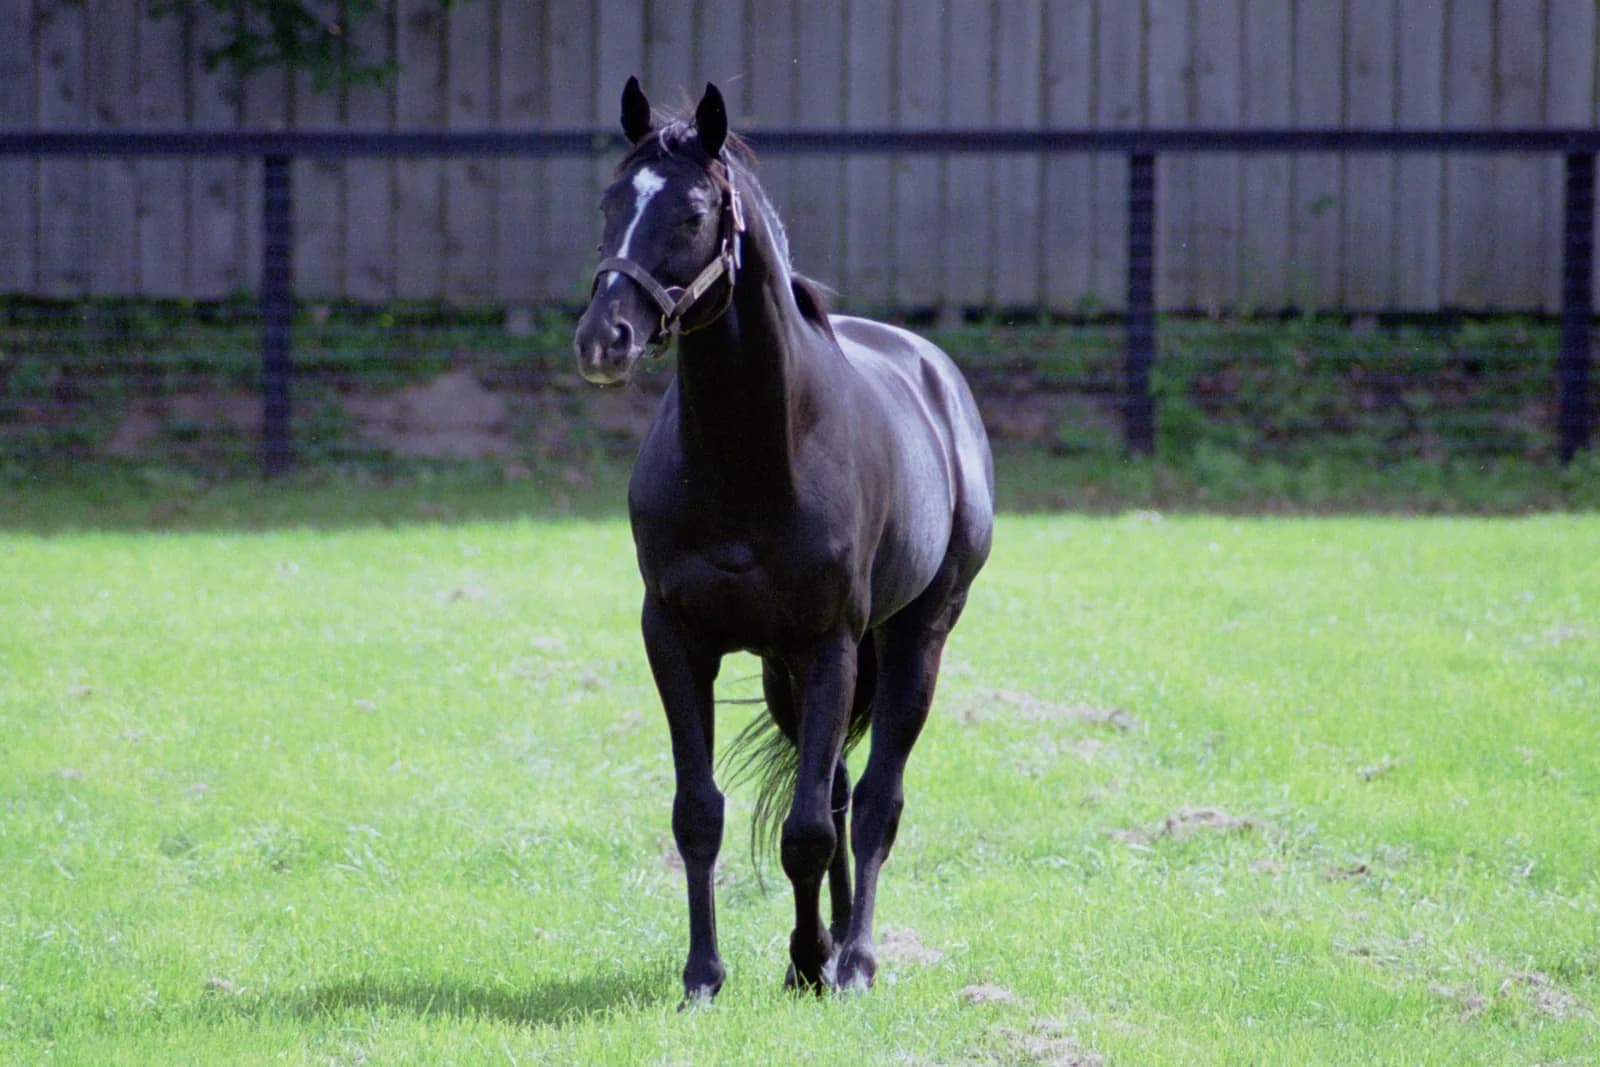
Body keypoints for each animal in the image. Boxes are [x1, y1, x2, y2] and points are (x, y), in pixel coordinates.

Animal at [573, 78, 994, 1001]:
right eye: (610, 202)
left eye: (694, 214)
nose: (603, 340)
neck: (754, 458)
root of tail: (937, 376)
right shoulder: (678, 636)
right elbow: (700, 812)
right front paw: (707, 975)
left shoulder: (830, 641)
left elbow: (808, 829)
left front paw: (813, 961)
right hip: (783, 672)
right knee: (831, 788)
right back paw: (830, 943)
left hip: (913, 638)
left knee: (871, 802)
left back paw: (855, 956)